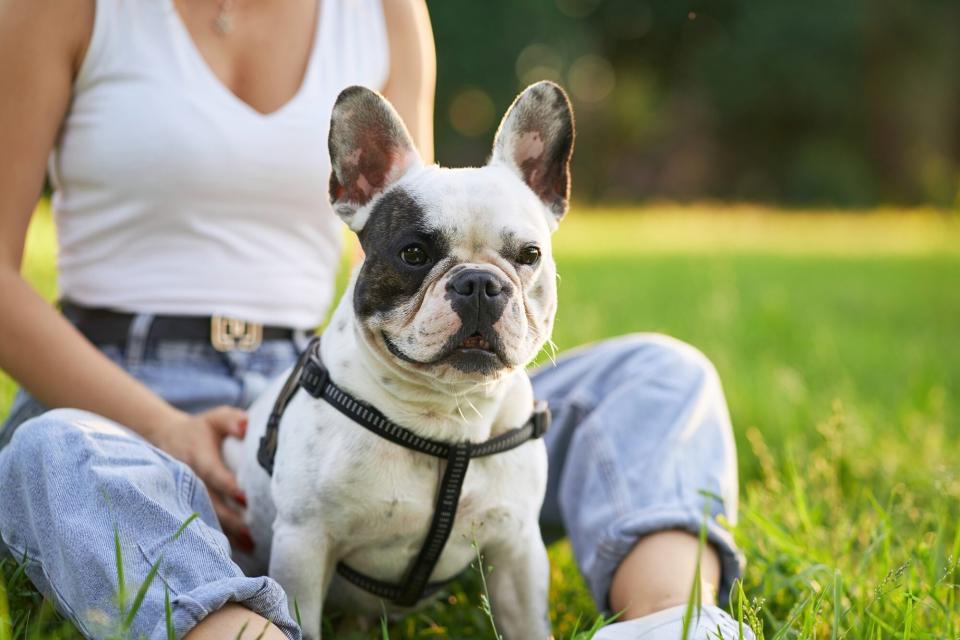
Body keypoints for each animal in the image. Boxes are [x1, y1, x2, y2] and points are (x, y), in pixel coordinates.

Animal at [221, 81, 572, 640]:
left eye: (529, 255)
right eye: (413, 254)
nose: (479, 282)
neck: (449, 415)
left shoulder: (517, 549)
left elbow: (527, 625)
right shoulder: (304, 545)